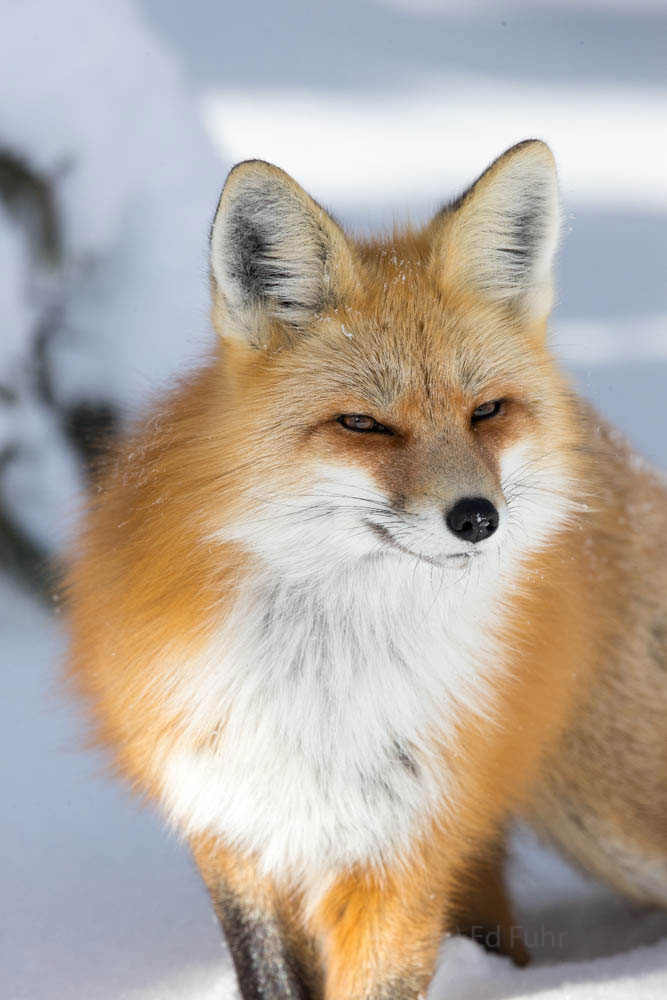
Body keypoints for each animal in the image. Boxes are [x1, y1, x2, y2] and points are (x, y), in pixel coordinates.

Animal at [66, 143, 667, 1000]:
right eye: (363, 424)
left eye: (485, 412)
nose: (477, 518)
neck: (323, 687)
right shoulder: (236, 829)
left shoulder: (408, 849)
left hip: (617, 819)